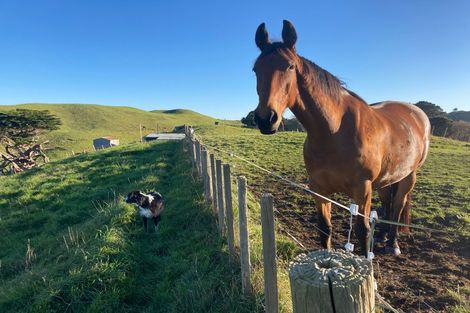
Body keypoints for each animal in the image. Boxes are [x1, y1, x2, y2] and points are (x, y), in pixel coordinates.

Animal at [253, 19, 430, 255]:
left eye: (290, 66)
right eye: (255, 69)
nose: (266, 118)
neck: (334, 133)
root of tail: (417, 113)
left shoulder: (362, 189)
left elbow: (362, 231)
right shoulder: (319, 189)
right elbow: (324, 228)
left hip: (408, 176)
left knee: (398, 206)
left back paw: (392, 244)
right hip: (387, 178)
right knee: (387, 203)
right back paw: (382, 236)